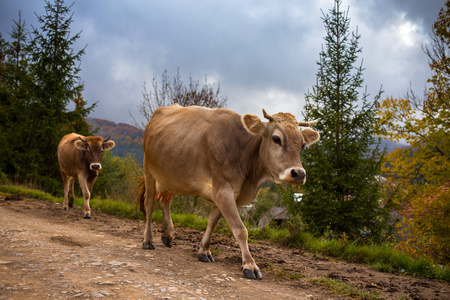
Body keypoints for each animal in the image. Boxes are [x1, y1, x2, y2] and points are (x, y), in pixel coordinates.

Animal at [137, 104, 320, 280]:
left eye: (302, 144)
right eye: (276, 139)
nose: (299, 174)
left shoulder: (226, 194)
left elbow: (212, 222)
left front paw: (204, 251)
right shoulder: (223, 190)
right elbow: (241, 230)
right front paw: (250, 265)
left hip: (171, 176)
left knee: (165, 200)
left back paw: (168, 235)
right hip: (148, 169)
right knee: (149, 204)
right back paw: (148, 240)